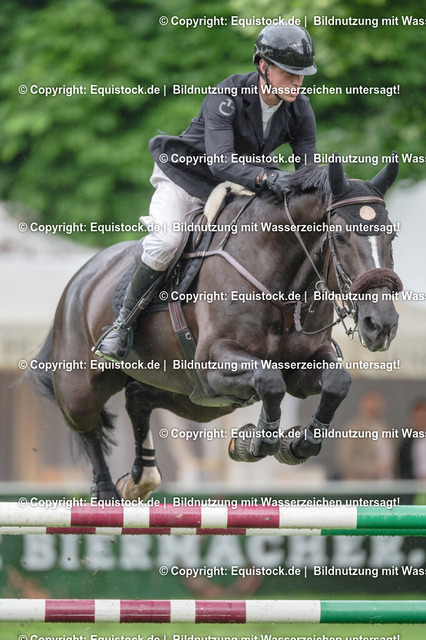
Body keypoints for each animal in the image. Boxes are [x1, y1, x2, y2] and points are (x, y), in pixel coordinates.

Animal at [27, 154, 402, 499]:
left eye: (392, 235)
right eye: (339, 236)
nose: (381, 324)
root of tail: (81, 278)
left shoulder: (302, 367)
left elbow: (337, 382)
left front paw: (298, 444)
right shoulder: (212, 364)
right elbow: (269, 381)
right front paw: (255, 441)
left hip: (187, 397)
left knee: (138, 399)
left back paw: (141, 476)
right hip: (81, 385)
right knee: (88, 426)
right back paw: (106, 493)